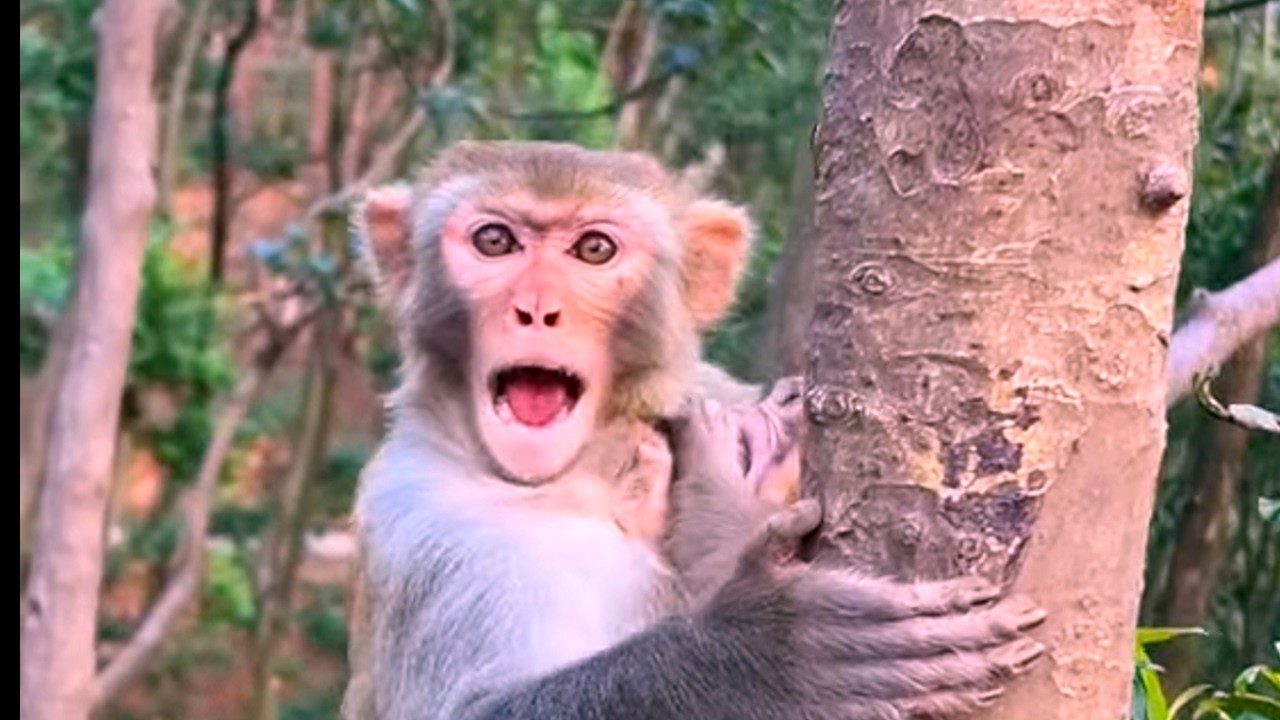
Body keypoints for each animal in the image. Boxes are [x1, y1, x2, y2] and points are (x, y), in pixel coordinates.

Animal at [345, 141, 1046, 720]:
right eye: (495, 242)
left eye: (593, 249)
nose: (537, 309)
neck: (595, 470)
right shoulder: (429, 525)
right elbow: (472, 710)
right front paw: (763, 654)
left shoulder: (709, 388)